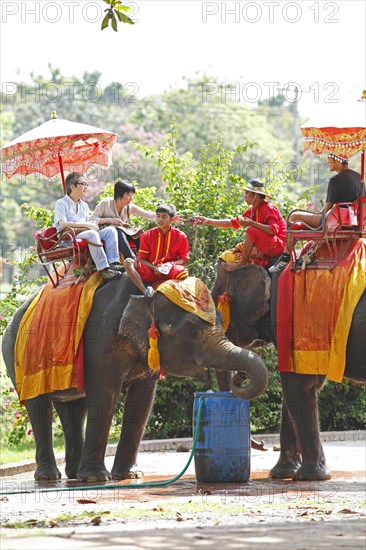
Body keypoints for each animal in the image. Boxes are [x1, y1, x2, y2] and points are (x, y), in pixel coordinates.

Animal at [1, 276, 268, 484]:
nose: (240, 378)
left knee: (74, 408)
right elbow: (105, 395)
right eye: (191, 327)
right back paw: (50, 477)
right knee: (39, 406)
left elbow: (142, 399)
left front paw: (130, 476)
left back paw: (74, 474)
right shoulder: (99, 340)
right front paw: (96, 478)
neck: (144, 293)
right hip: (16, 354)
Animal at [212, 260, 366, 480]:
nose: (263, 444)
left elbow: (297, 385)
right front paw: (283, 473)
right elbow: (300, 387)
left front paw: (311, 476)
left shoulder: (294, 322)